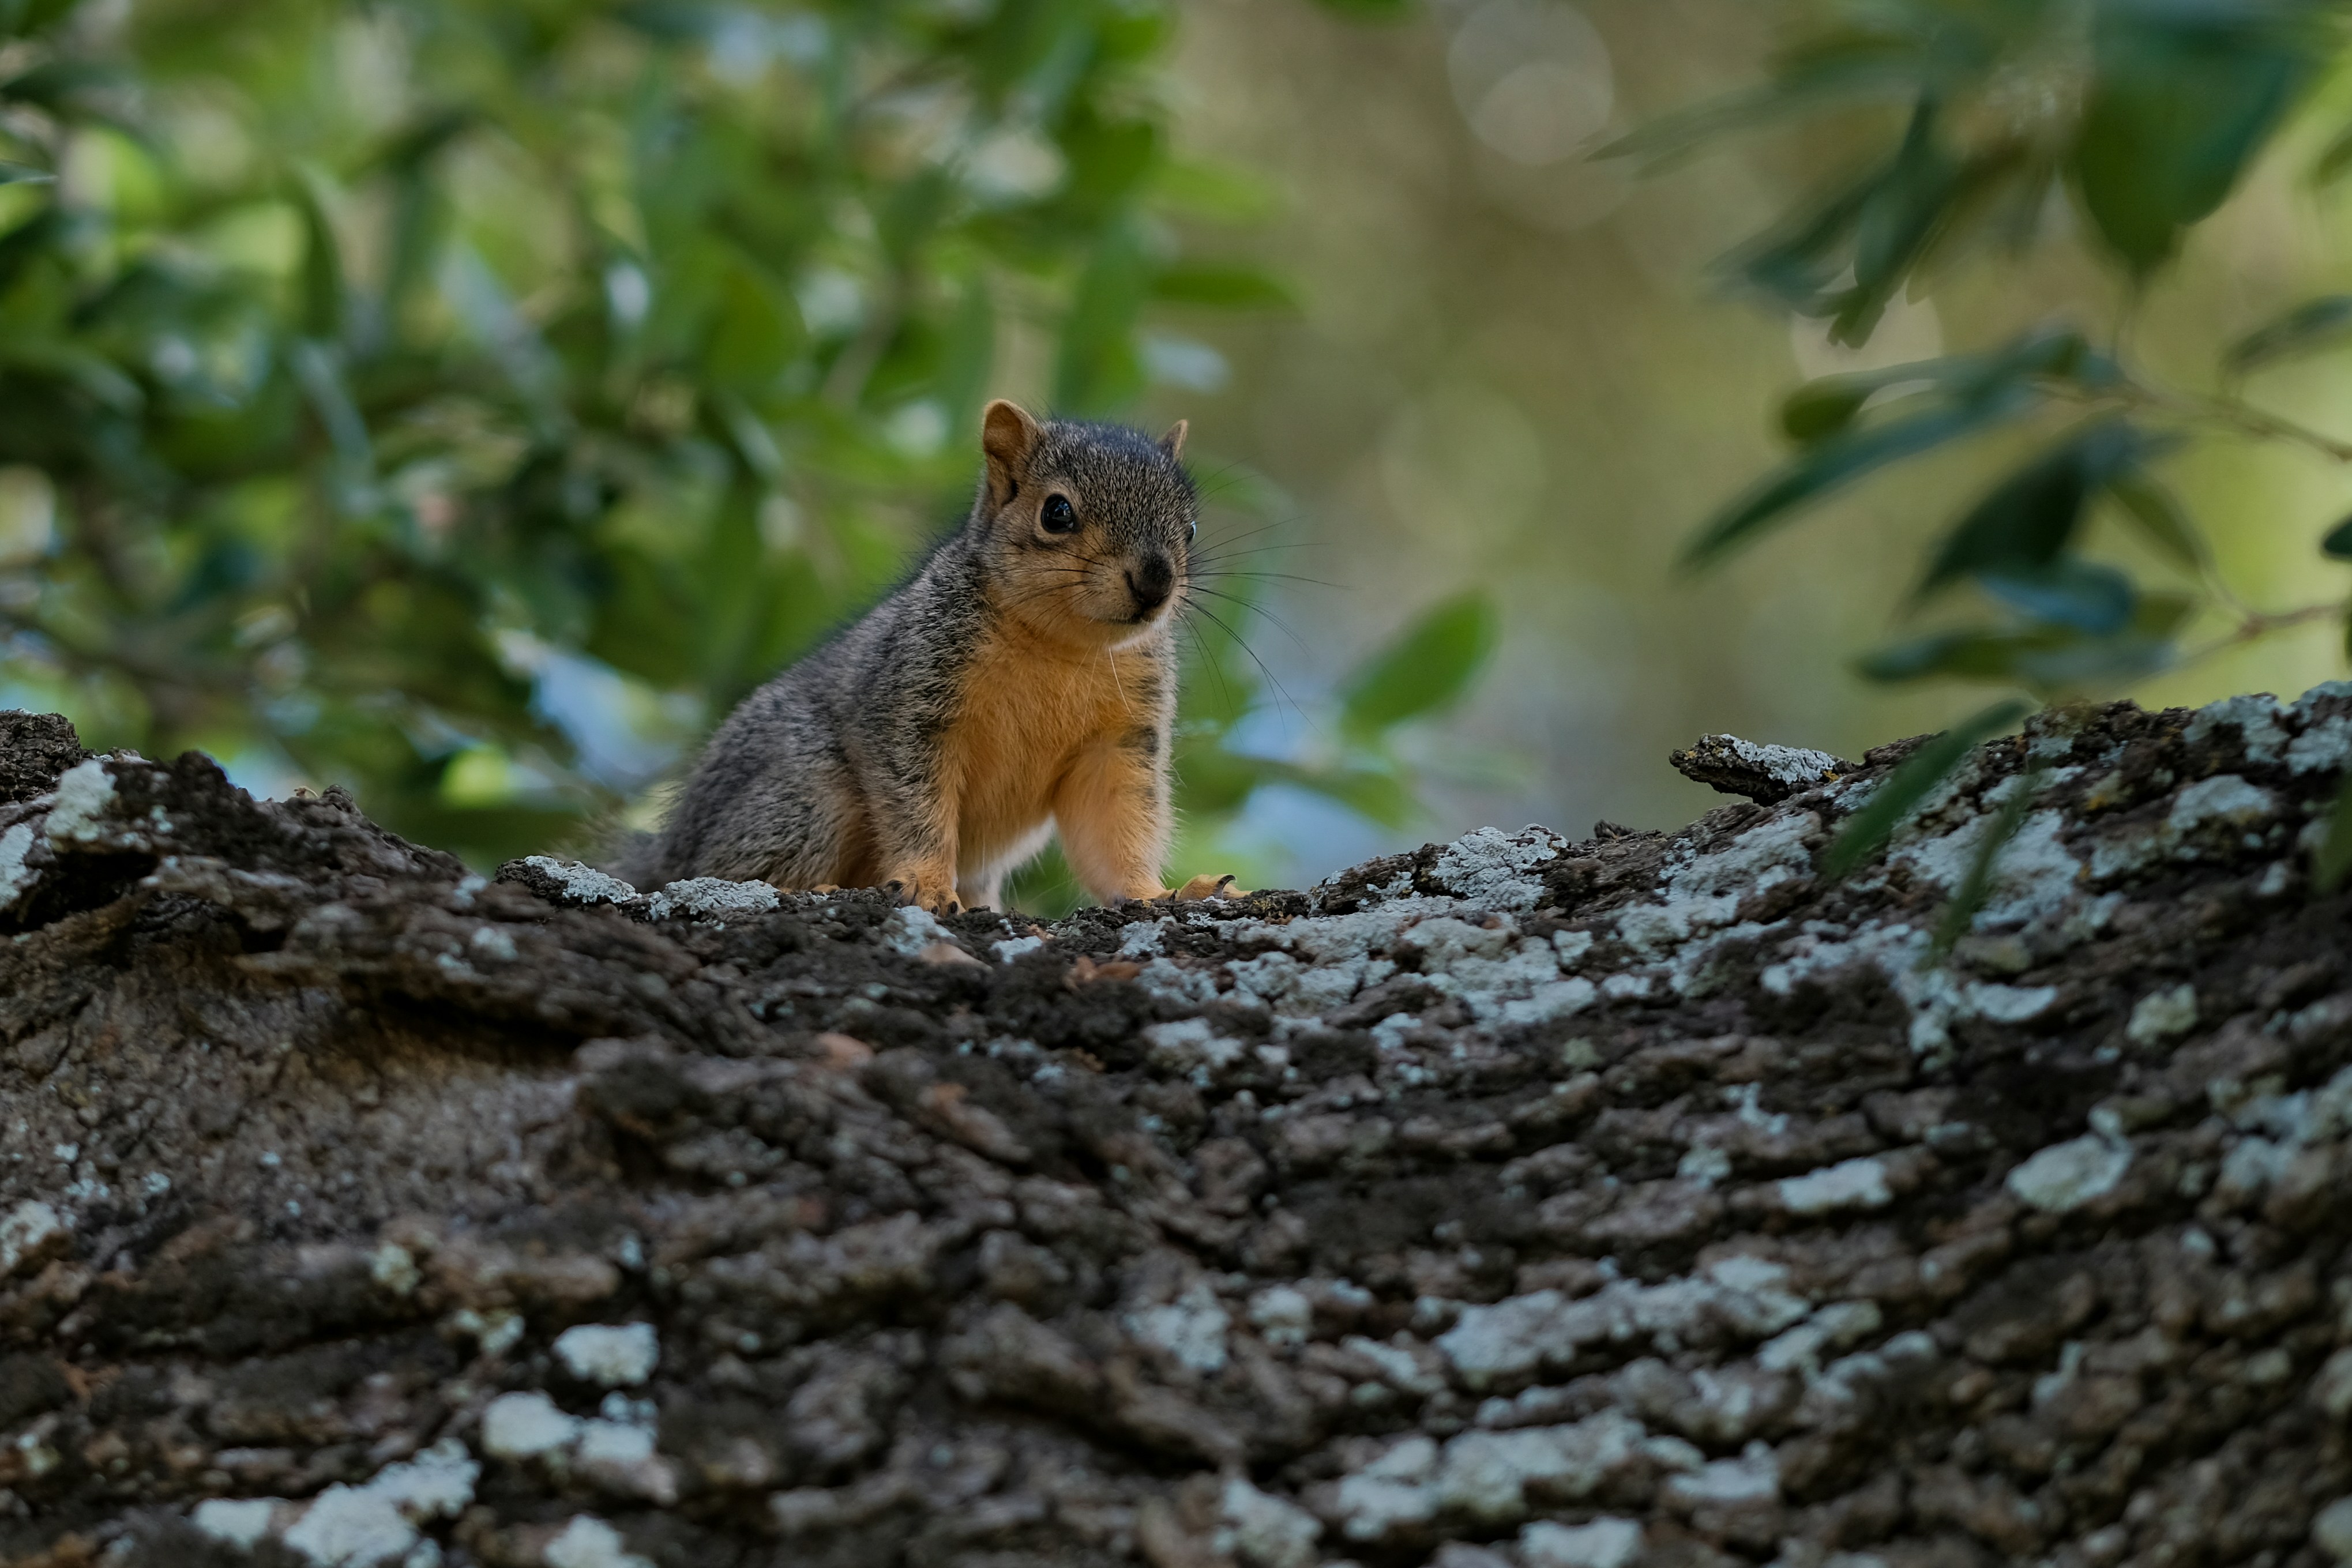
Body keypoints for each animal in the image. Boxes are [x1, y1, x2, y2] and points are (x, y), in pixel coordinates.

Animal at [624, 399, 1238, 914]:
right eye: (1057, 513)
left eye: (1190, 527)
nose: (1155, 581)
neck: (1062, 646)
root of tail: (672, 846)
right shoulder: (912, 701)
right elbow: (916, 805)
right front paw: (925, 883)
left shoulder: (1119, 742)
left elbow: (1115, 829)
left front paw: (1160, 892)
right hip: (803, 794)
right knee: (728, 868)